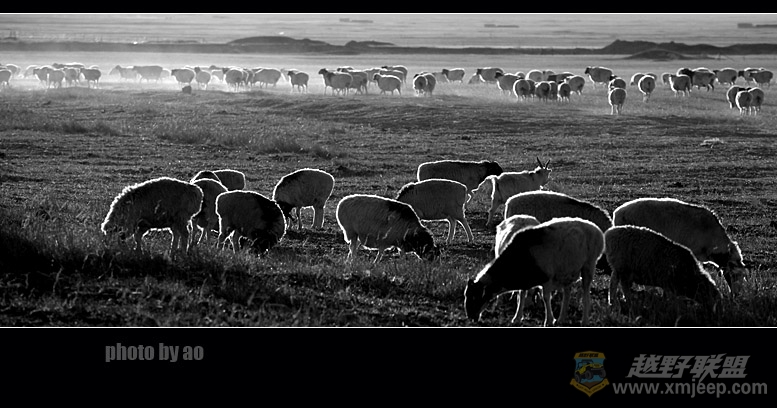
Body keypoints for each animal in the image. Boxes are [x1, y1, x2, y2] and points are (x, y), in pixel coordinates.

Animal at [464, 217, 604, 327]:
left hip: (589, 265)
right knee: (567, 292)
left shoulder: (547, 278)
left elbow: (545, 297)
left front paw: (548, 321)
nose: (470, 317)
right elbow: (521, 295)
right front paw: (517, 318)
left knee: (586, 292)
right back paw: (561, 319)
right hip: (566, 270)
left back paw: (584, 321)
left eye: (475, 296)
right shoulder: (525, 277)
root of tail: (596, 229)